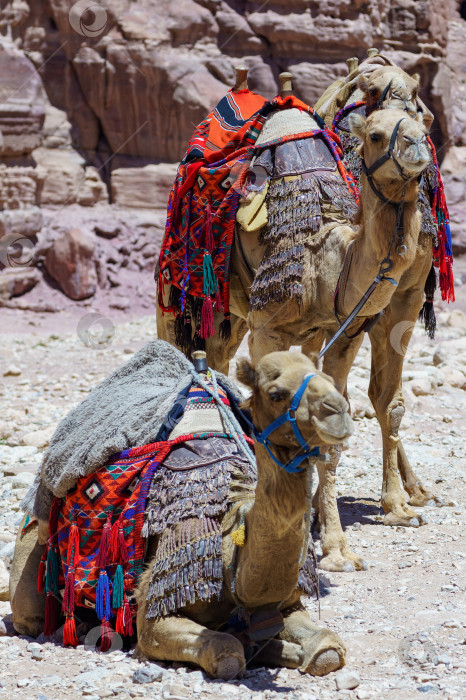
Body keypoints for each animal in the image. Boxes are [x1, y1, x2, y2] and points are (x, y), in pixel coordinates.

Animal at [157, 75, 434, 568]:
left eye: (421, 123)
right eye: (375, 134)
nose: (416, 146)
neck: (322, 258)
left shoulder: (344, 334)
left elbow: (336, 428)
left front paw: (337, 545)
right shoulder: (269, 330)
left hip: (243, 319)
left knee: (219, 363)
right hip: (182, 293)